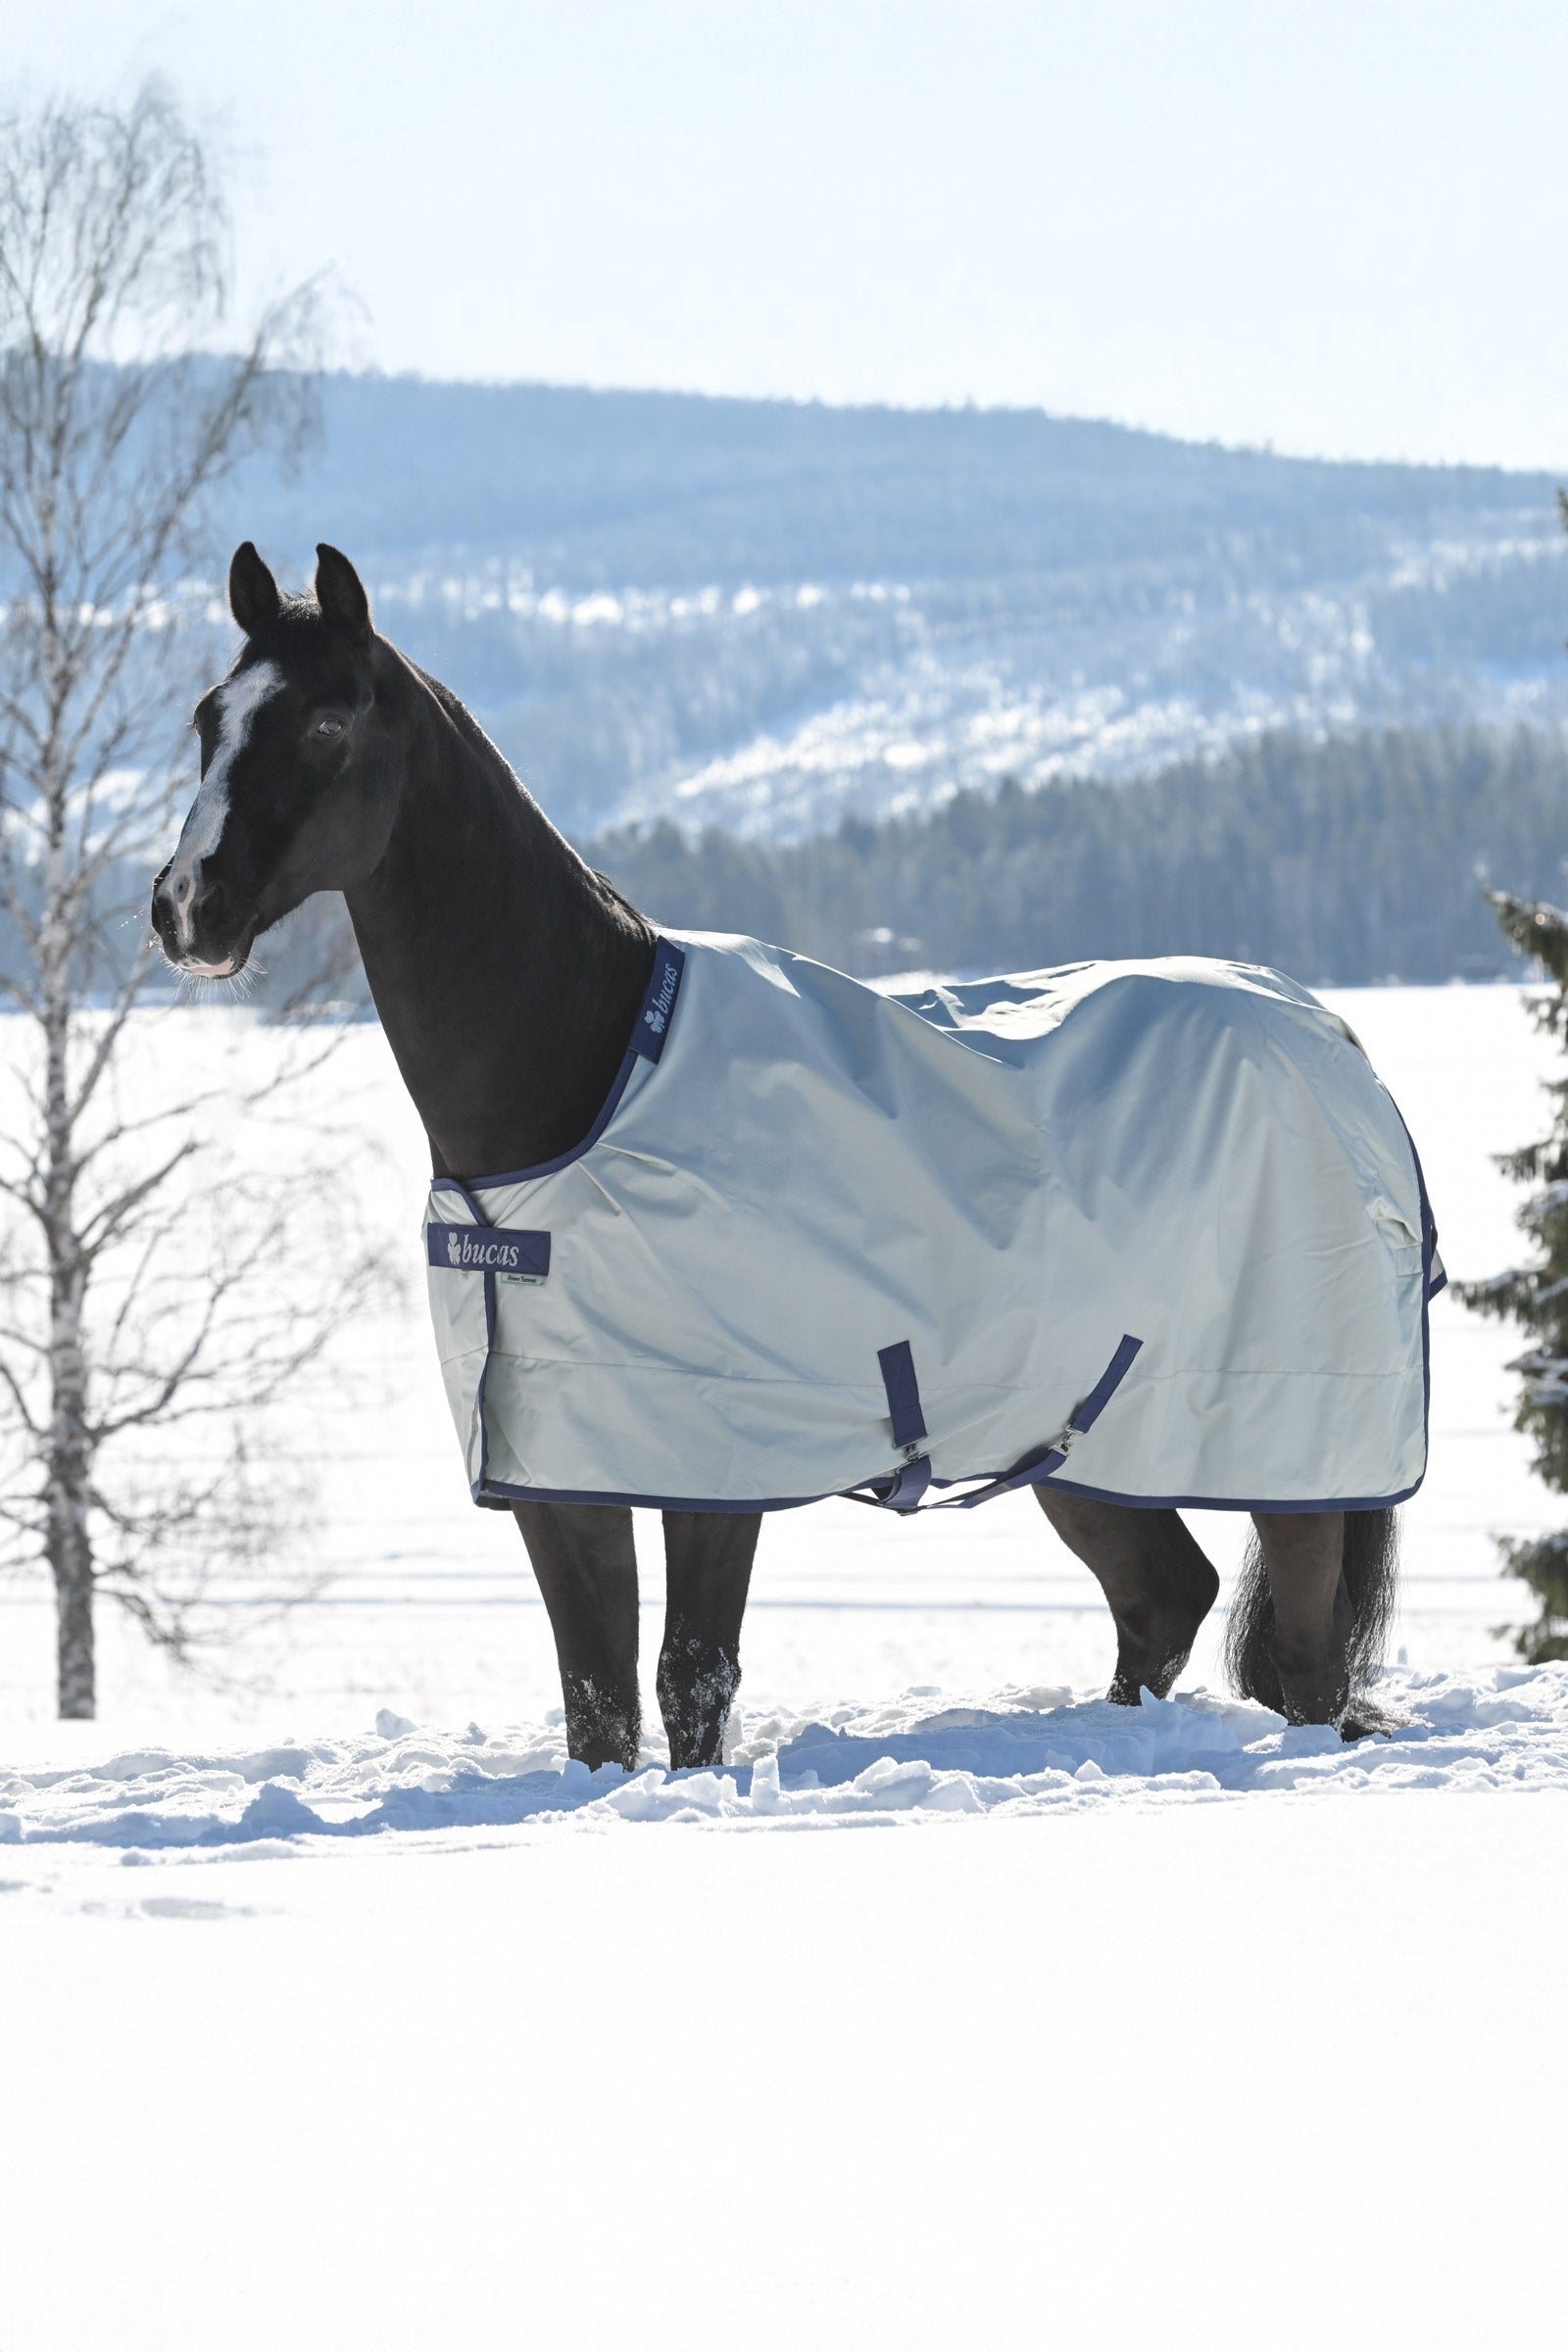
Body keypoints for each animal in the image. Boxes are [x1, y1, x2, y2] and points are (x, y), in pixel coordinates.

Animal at [152, 541, 1407, 1767]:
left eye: (326, 725)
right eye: (211, 718)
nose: (184, 907)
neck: (585, 1072)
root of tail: (1332, 1040)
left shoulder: (717, 1470)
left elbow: (688, 1682)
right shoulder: (563, 1467)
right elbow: (596, 1704)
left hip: (1287, 1452)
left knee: (1299, 1655)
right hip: (1084, 1444)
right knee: (1162, 1597)